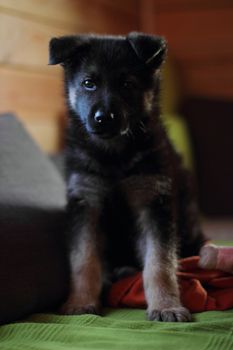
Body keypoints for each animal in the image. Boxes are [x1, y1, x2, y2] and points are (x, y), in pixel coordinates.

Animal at [48, 32, 206, 322]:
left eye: (127, 84)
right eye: (88, 83)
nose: (104, 118)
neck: (114, 157)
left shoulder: (154, 202)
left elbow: (159, 263)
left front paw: (166, 306)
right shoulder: (85, 202)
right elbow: (83, 259)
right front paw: (80, 302)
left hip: (189, 226)